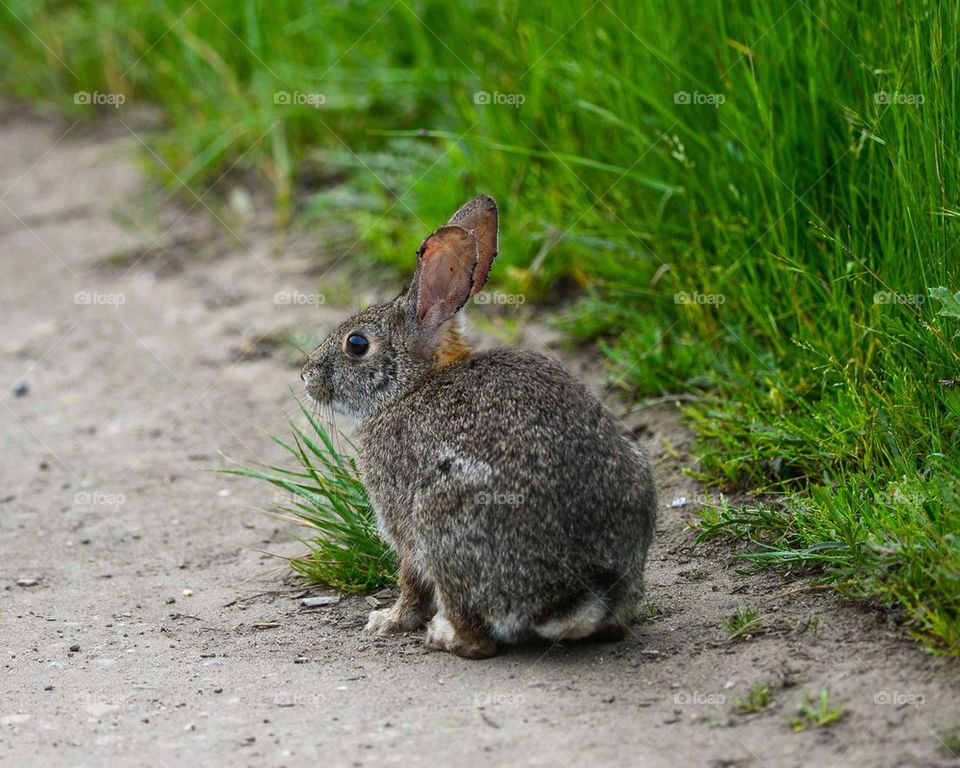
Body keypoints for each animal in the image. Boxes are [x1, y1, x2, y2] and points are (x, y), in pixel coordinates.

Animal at [300, 195, 657, 659]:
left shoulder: (403, 524)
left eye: (356, 344)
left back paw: (443, 635)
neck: (413, 385)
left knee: (478, 638)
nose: (306, 376)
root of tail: (575, 596)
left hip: (441, 519)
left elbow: (410, 581)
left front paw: (387, 621)